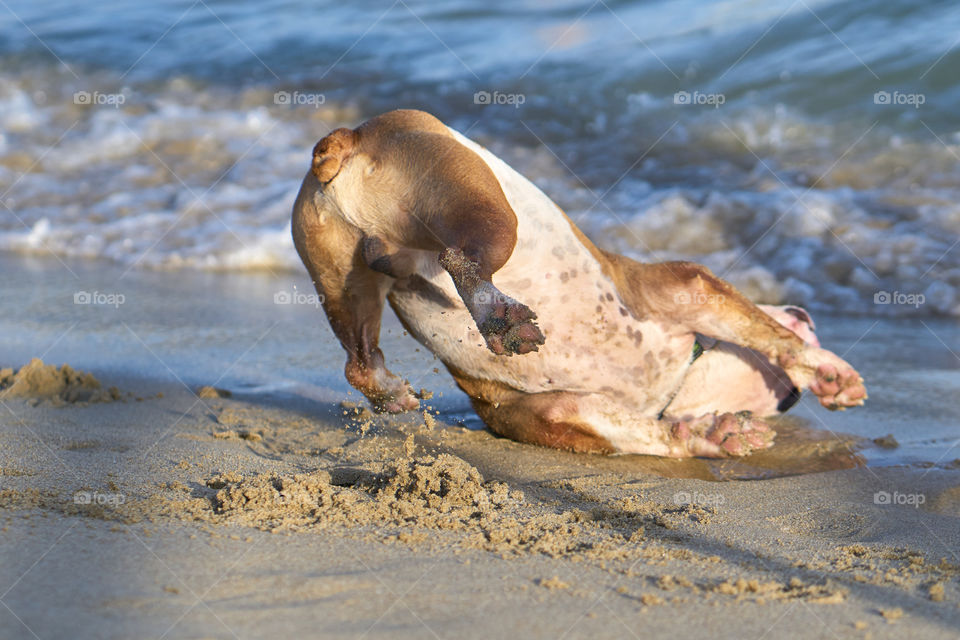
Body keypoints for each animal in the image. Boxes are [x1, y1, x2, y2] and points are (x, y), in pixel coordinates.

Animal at [288, 111, 868, 460]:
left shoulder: (558, 413)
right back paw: (501, 317)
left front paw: (712, 435)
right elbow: (772, 335)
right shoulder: (690, 288)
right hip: (482, 205)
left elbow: (646, 433)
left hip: (342, 282)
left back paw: (393, 386)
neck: (678, 380)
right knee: (463, 259)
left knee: (360, 359)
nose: (806, 312)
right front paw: (829, 373)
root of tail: (347, 138)